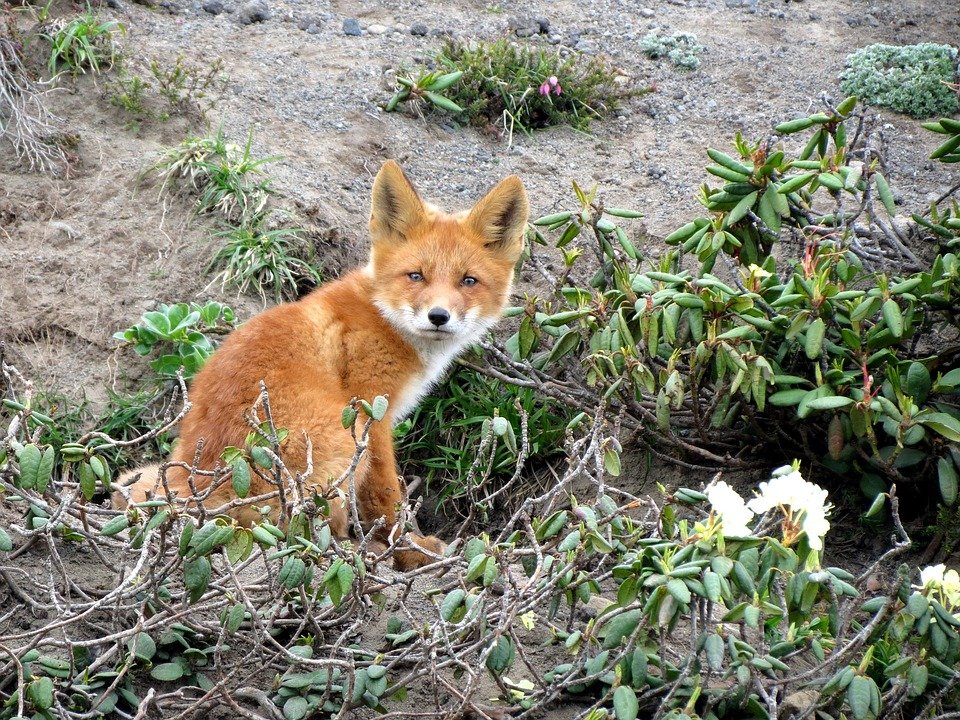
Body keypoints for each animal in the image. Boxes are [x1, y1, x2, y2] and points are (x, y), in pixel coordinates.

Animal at [117, 162, 532, 568]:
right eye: (416, 276)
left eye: (468, 281)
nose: (439, 316)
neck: (383, 317)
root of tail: (207, 483)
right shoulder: (371, 412)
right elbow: (386, 494)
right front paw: (409, 549)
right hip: (341, 441)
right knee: (299, 529)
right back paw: (358, 551)